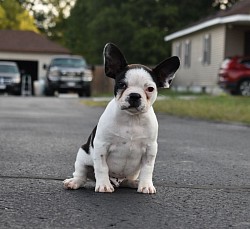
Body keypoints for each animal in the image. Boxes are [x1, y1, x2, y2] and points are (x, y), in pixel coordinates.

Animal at [63, 43, 179, 193]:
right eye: (122, 85)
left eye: (150, 89)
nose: (134, 95)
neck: (131, 118)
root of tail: (117, 181)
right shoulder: (101, 145)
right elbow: (101, 167)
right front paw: (103, 185)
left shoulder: (150, 149)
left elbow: (148, 168)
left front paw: (146, 185)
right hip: (82, 155)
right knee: (82, 174)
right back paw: (74, 182)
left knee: (127, 180)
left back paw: (134, 182)